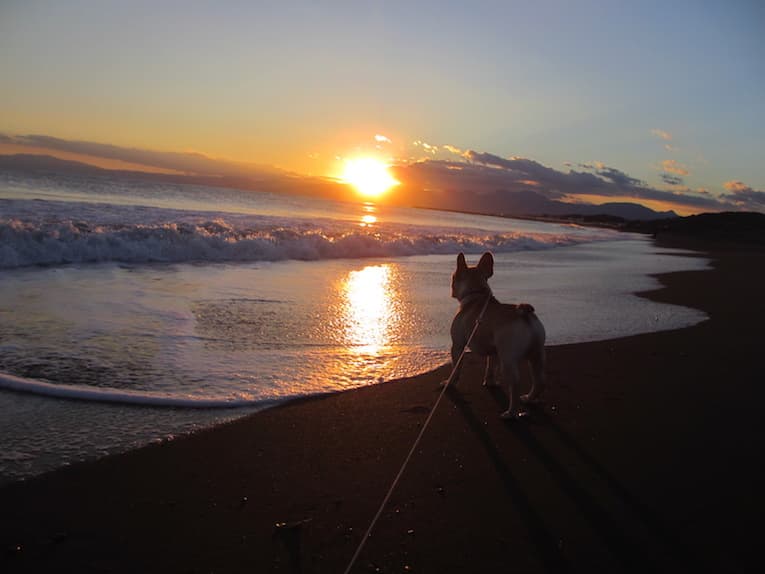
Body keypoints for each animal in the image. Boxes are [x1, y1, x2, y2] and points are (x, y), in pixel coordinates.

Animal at [444, 251, 548, 418]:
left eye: (453, 277)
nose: (451, 287)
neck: (476, 295)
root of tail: (524, 314)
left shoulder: (457, 346)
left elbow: (456, 368)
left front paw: (449, 383)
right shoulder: (493, 351)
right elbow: (490, 366)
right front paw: (489, 382)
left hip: (508, 359)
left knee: (515, 384)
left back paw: (511, 413)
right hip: (537, 354)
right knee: (539, 380)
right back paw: (529, 398)